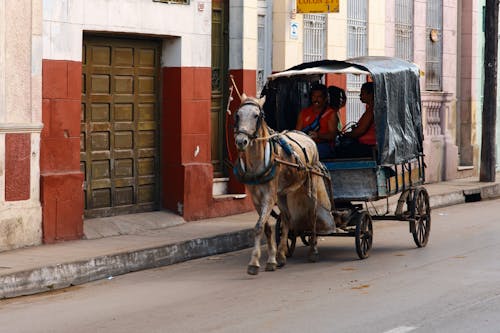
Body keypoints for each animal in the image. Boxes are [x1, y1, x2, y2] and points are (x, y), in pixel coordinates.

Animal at [233, 93, 336, 274]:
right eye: (237, 115)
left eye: (256, 115)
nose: (241, 141)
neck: (257, 162)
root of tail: (308, 136)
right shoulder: (256, 198)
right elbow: (266, 228)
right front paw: (271, 259)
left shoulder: (269, 196)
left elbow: (258, 227)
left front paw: (254, 263)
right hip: (282, 194)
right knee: (287, 219)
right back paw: (281, 255)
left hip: (311, 185)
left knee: (313, 216)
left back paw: (313, 251)